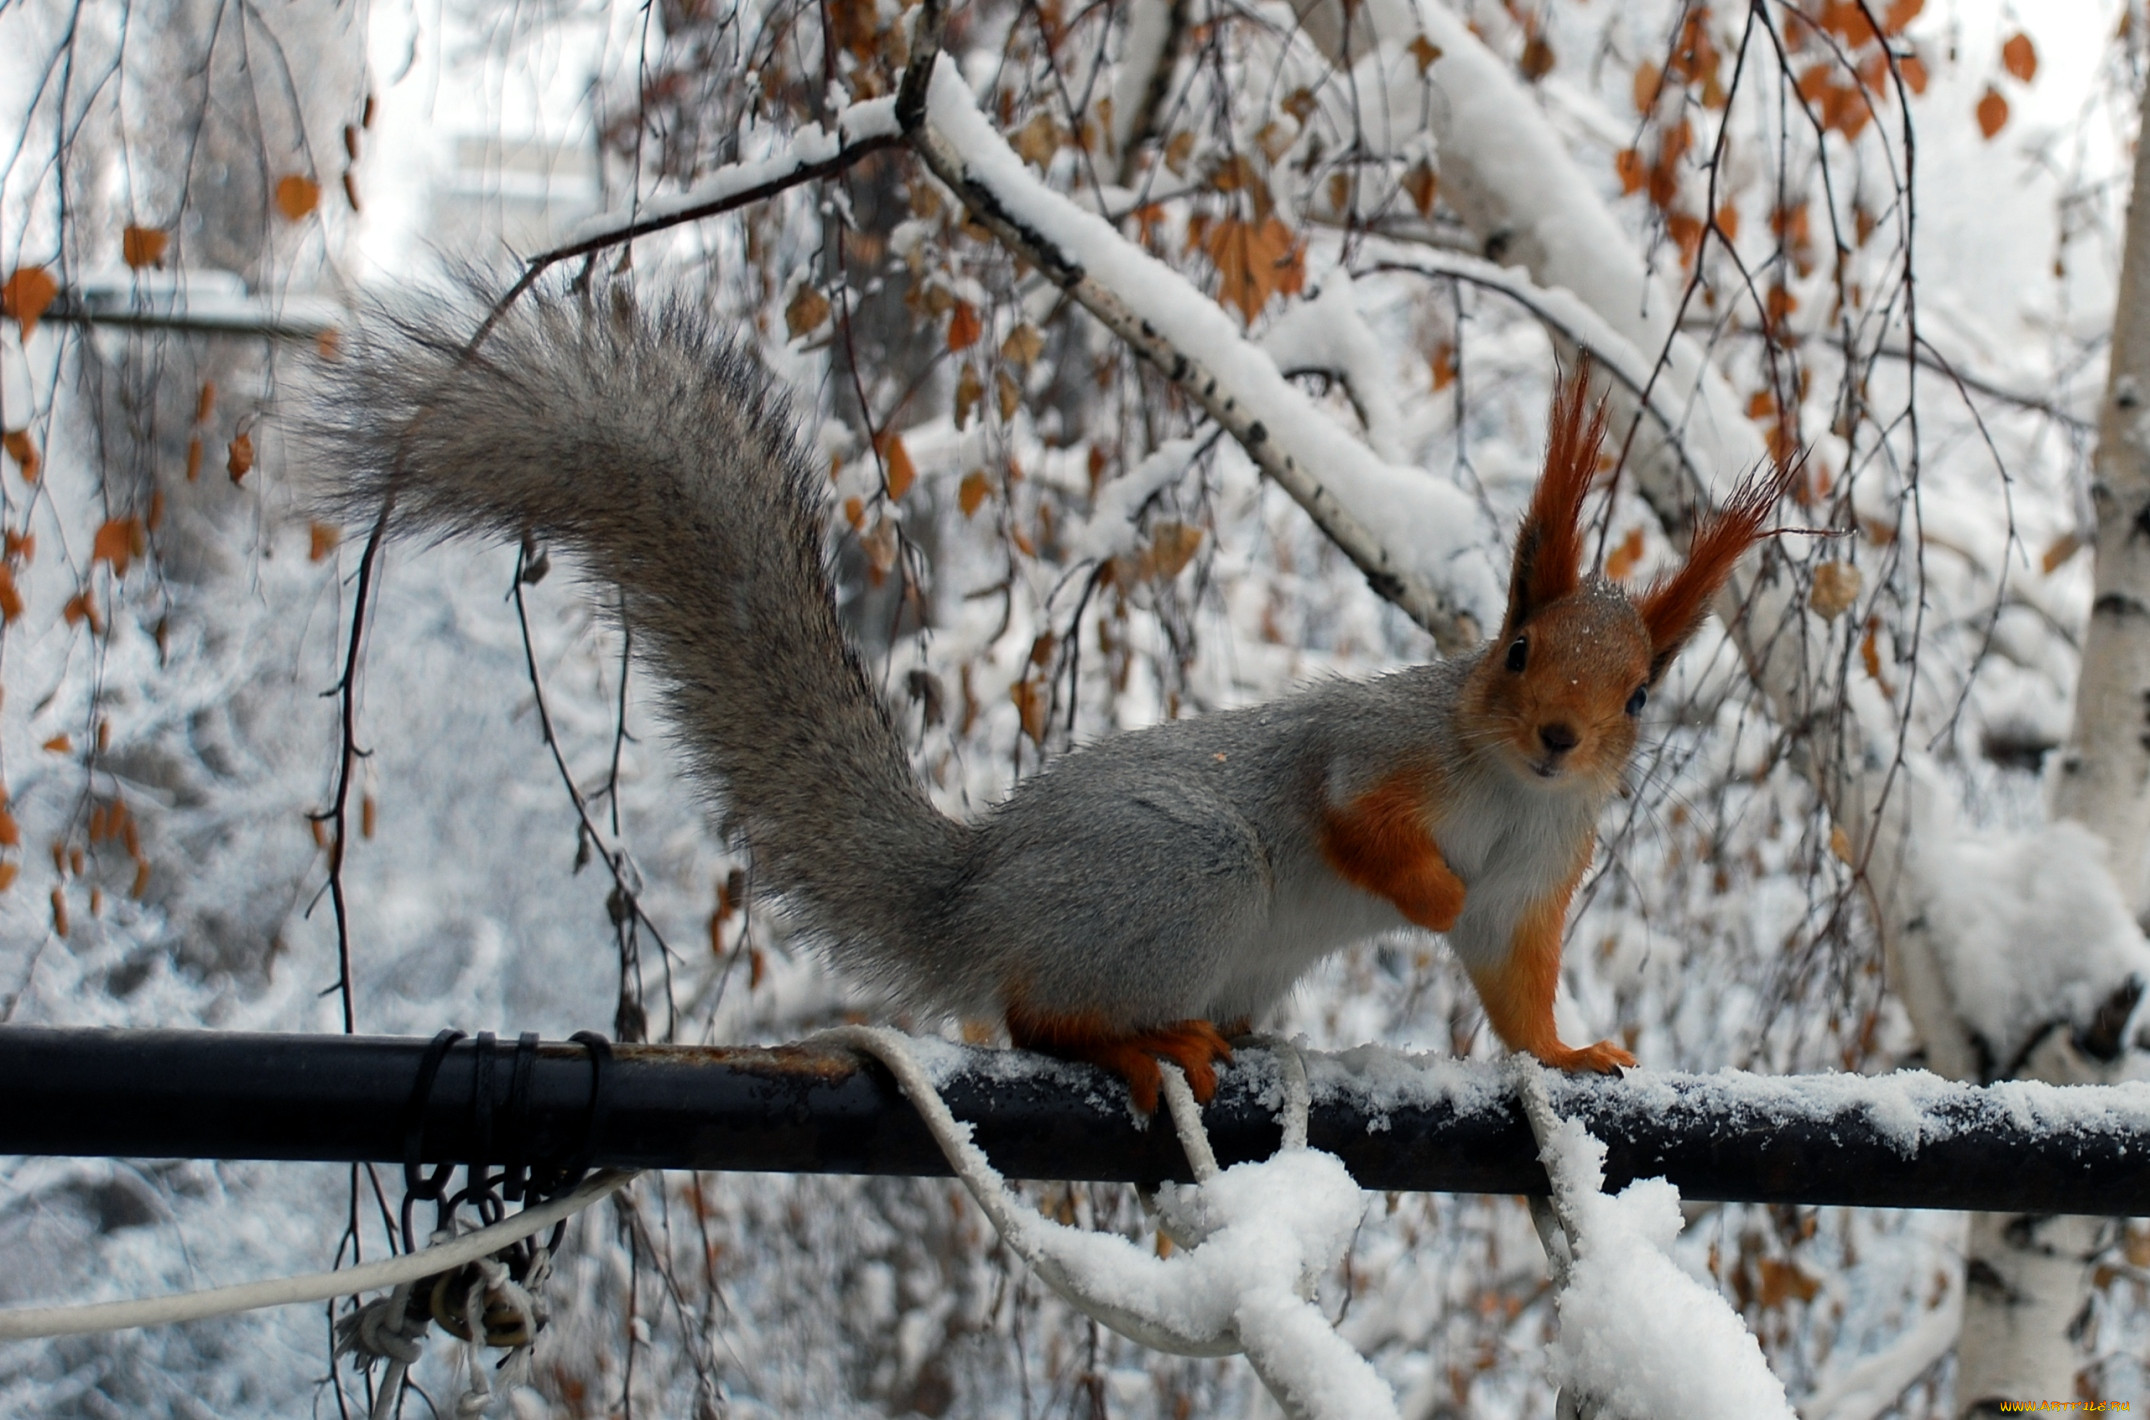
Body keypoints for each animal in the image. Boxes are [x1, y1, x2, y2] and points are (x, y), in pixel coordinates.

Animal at [313, 286, 1797, 1110]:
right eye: (1513, 649)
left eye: (1641, 694)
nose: (1556, 739)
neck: (1496, 784)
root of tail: (979, 891)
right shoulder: (1373, 747)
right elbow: (1351, 820)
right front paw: (1419, 890)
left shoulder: (1540, 868)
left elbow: (1508, 977)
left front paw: (1568, 1055)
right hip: (1185, 876)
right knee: (1037, 1014)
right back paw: (1137, 1045)